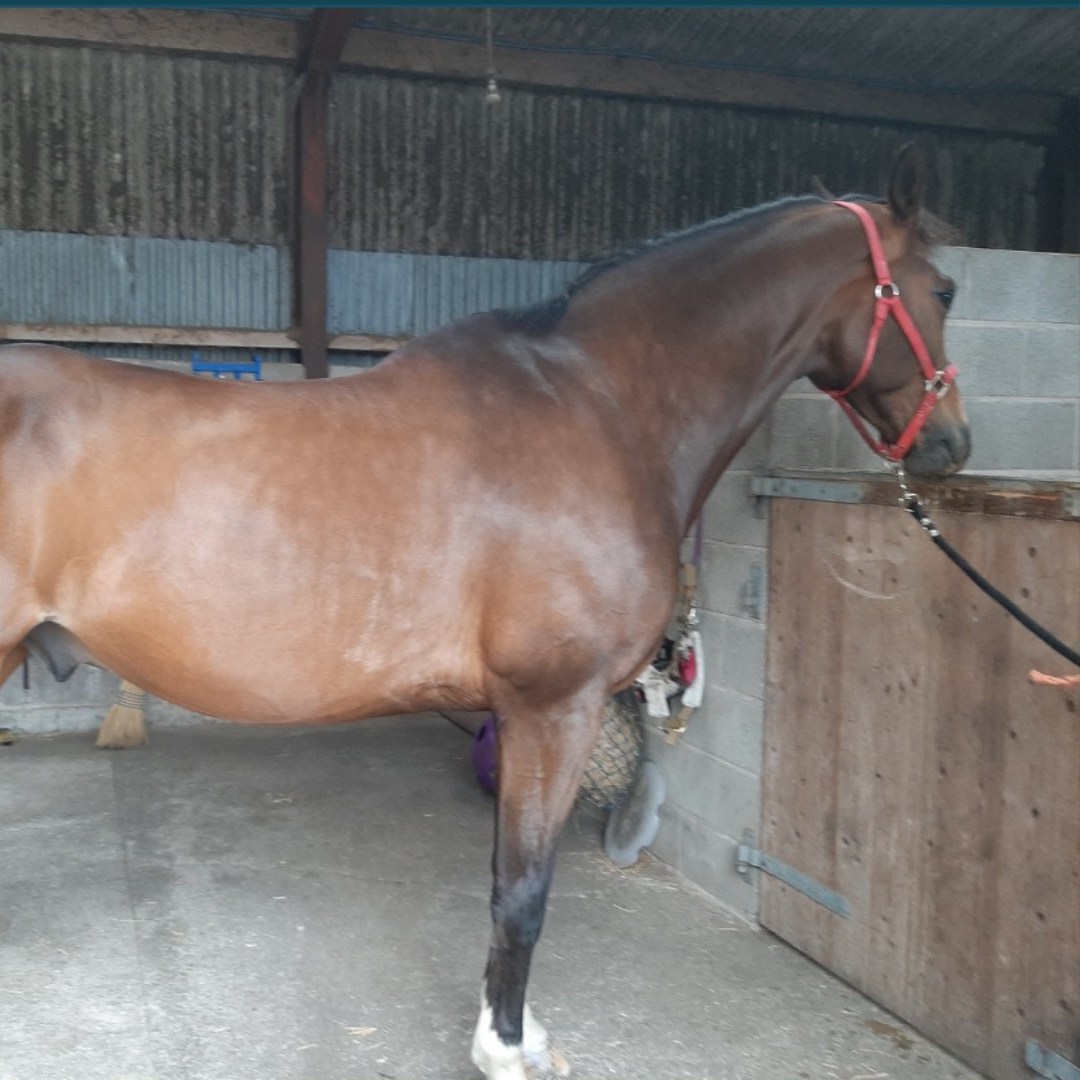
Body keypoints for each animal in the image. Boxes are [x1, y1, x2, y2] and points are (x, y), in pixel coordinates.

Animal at [1, 145, 969, 1080]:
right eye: (946, 289)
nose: (951, 445)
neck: (600, 407)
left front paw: (518, 1031)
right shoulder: (554, 707)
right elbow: (524, 891)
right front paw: (504, 1047)